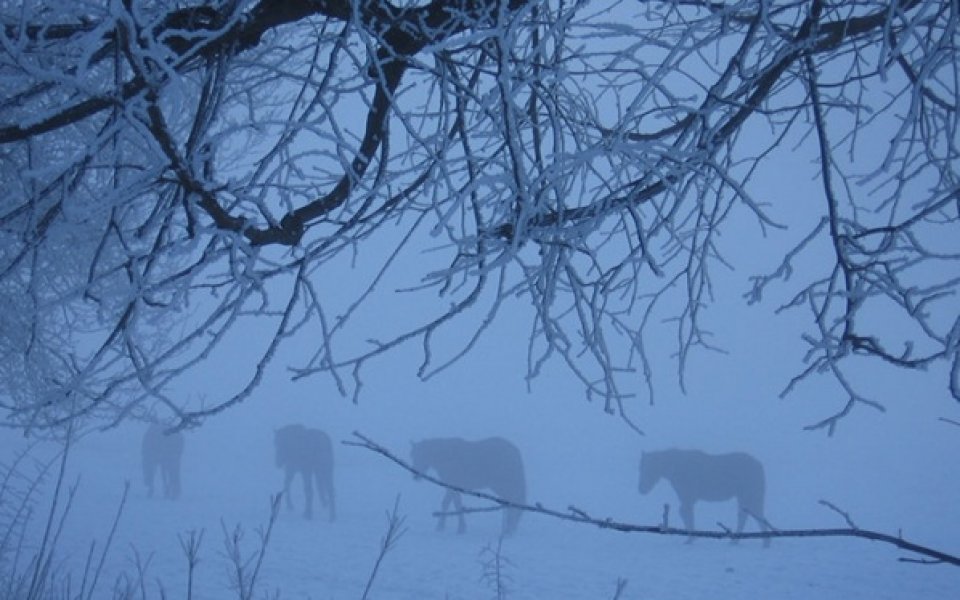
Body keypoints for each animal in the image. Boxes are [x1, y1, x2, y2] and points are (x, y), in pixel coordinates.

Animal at [636, 450, 772, 544]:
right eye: (640, 468)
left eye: (648, 468)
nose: (641, 489)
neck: (677, 468)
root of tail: (759, 466)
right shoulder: (687, 499)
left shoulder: (688, 498)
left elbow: (687, 515)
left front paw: (691, 538)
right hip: (747, 497)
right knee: (752, 516)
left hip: (748, 495)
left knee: (748, 517)